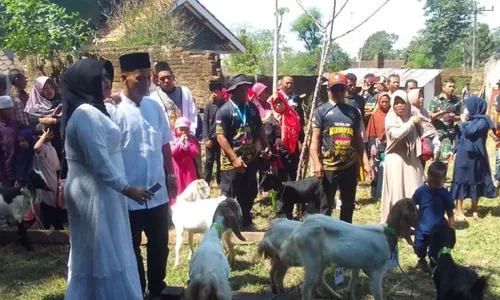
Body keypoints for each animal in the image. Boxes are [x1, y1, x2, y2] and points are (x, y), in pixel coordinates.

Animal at [278, 198, 418, 298]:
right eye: (414, 210)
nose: (418, 223)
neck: (387, 234)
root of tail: (300, 229)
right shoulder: (377, 269)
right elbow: (378, 291)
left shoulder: (359, 263)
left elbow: (354, 276)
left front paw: (349, 293)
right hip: (312, 259)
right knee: (306, 288)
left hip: (321, 260)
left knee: (319, 278)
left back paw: (332, 294)